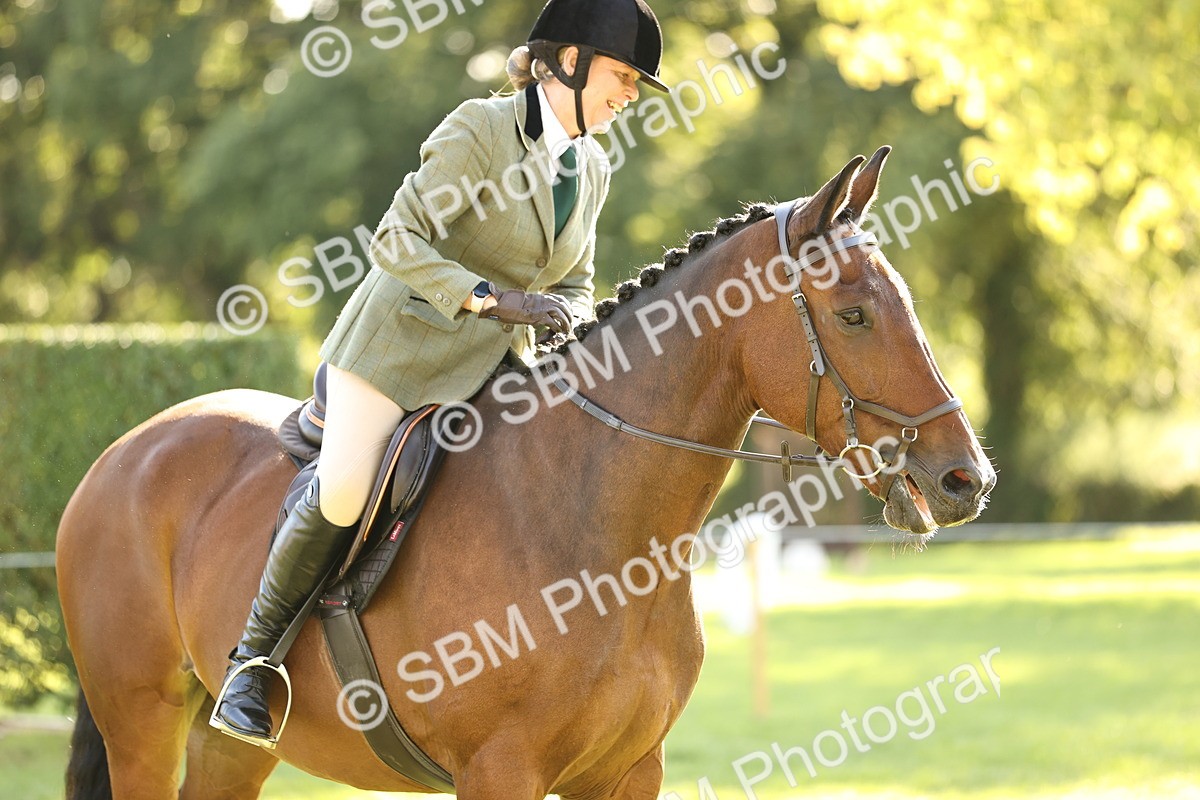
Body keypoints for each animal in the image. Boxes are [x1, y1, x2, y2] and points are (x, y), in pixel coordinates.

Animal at [57, 147, 995, 800]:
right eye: (854, 314)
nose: (967, 481)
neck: (602, 535)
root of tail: (122, 452)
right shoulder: (501, 770)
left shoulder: (629, 771)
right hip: (143, 722)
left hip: (225, 747)